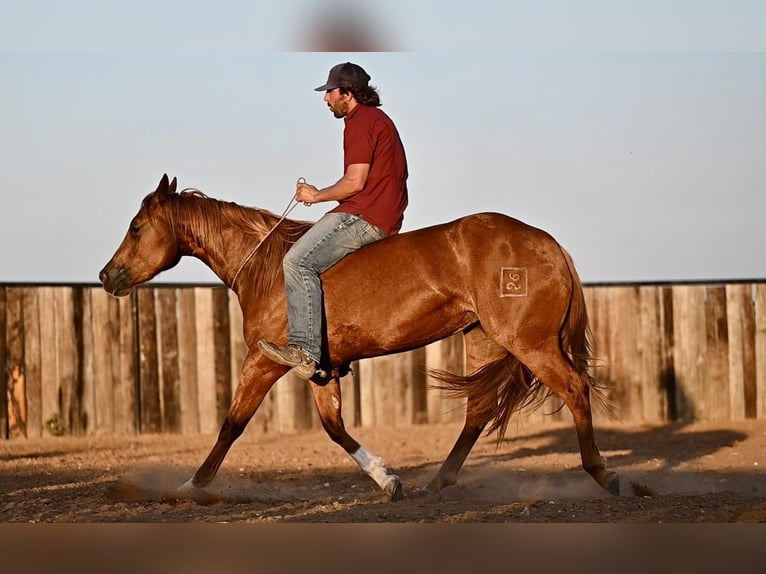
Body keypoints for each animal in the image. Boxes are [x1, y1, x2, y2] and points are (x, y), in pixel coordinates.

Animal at [99, 173, 620, 502]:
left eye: (136, 227)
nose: (107, 276)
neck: (267, 268)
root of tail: (550, 244)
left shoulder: (265, 360)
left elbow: (232, 423)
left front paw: (190, 488)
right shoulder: (321, 369)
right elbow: (335, 429)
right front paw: (389, 481)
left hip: (530, 343)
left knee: (575, 389)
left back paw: (604, 475)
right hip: (484, 340)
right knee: (478, 411)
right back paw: (437, 482)